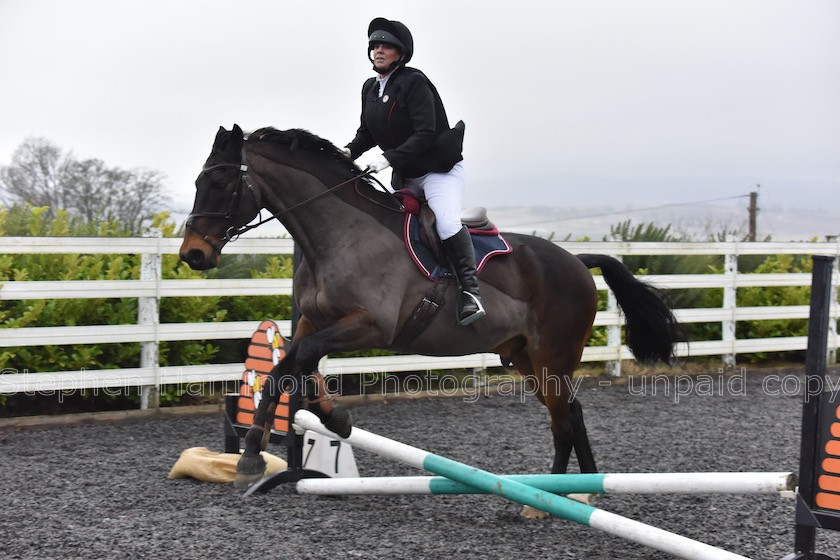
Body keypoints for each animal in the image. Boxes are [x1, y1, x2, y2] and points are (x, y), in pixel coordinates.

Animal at [180, 124, 680, 500]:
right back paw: (569, 493)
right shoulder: (312, 321)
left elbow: (293, 364)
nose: (193, 254)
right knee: (570, 415)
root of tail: (577, 261)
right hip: (527, 359)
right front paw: (329, 421)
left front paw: (252, 454)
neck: (337, 234)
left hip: (553, 356)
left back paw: (552, 500)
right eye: (199, 182)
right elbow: (293, 366)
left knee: (564, 420)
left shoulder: (371, 326)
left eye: (221, 184)